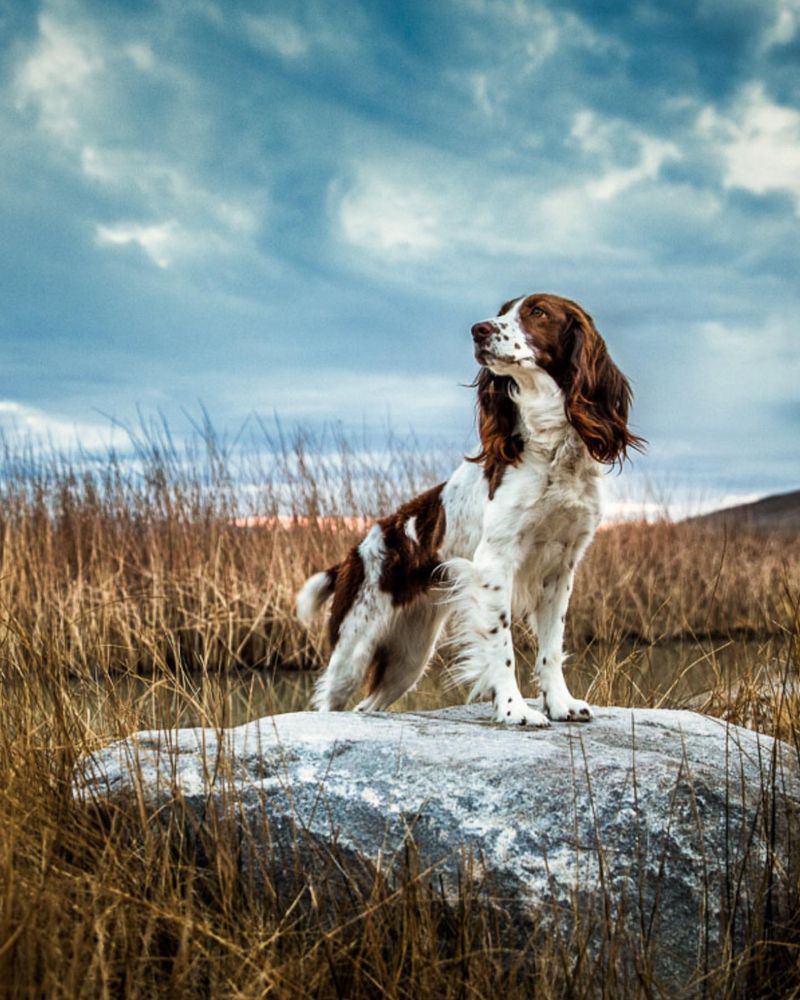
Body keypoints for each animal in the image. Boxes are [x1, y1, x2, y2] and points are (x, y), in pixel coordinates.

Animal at [296, 292, 644, 724]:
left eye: (538, 312)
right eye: (500, 313)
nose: (478, 329)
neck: (550, 448)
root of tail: (351, 556)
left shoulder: (561, 568)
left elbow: (550, 648)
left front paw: (561, 704)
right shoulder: (495, 563)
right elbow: (502, 647)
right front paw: (514, 710)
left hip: (409, 656)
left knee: (368, 704)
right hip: (354, 651)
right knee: (330, 703)